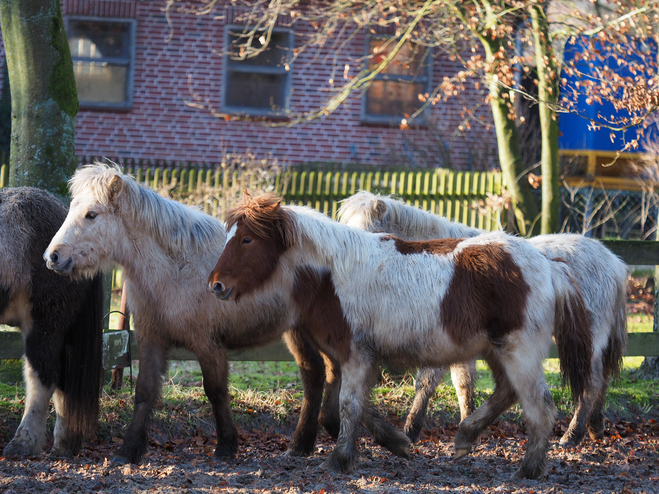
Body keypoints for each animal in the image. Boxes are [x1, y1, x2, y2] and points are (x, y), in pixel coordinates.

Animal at [208, 193, 592, 478]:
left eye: (247, 239)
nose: (216, 286)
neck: (332, 276)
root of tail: (548, 265)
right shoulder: (349, 356)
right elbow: (350, 408)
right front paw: (395, 443)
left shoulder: (356, 354)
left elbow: (349, 406)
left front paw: (339, 460)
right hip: (496, 350)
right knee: (507, 393)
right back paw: (465, 437)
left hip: (518, 351)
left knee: (539, 407)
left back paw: (529, 469)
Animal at [340, 191, 628, 446]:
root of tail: (614, 264)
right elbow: (463, 383)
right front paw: (470, 425)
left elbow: (425, 383)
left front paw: (411, 430)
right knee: (601, 379)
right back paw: (595, 427)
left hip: (587, 338)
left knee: (591, 381)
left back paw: (572, 434)